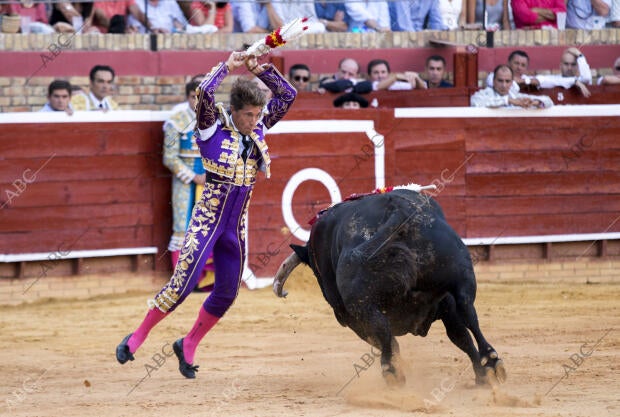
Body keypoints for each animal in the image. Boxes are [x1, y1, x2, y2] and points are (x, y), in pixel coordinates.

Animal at [274, 188, 506, 384]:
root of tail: (397, 211)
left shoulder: (350, 319)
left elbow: (390, 342)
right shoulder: (446, 303)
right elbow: (461, 335)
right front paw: (483, 375)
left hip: (361, 307)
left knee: (384, 332)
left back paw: (392, 374)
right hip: (460, 275)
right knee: (469, 312)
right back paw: (491, 362)